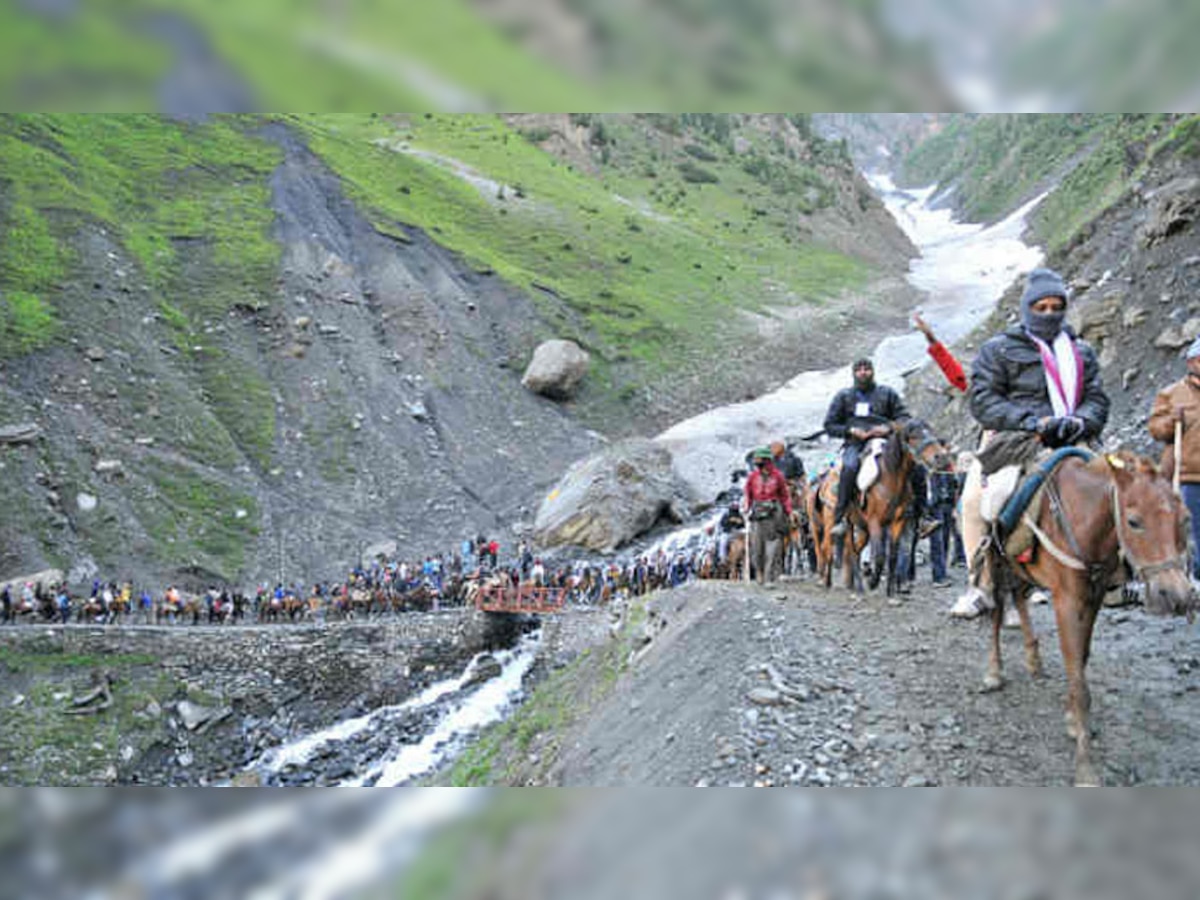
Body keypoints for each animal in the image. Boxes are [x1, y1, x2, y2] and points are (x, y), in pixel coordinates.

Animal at [979, 453, 1195, 787]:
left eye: (1185, 518)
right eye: (1134, 522)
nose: (1176, 596)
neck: (1083, 519)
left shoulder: (1092, 599)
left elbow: (1081, 659)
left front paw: (1073, 719)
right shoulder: (1066, 601)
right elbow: (1077, 678)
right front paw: (1085, 767)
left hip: (1022, 569)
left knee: (1020, 597)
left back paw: (1033, 659)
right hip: (997, 561)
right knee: (997, 611)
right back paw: (993, 672)